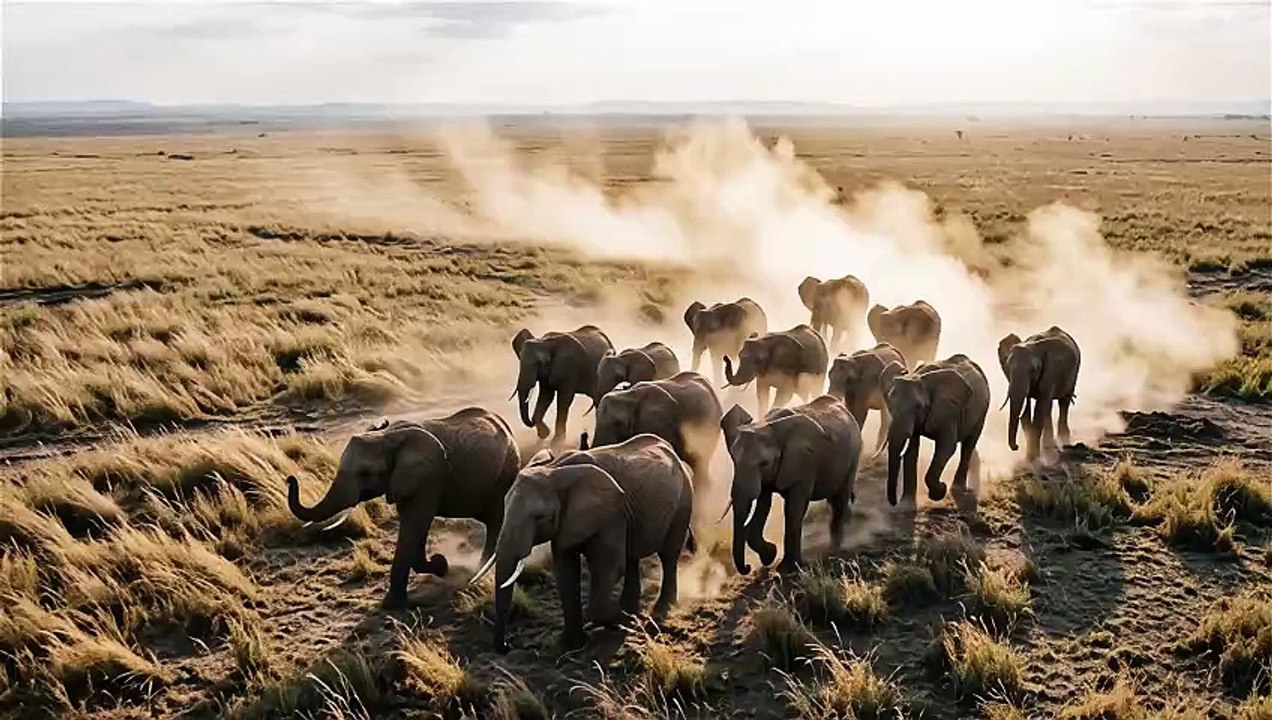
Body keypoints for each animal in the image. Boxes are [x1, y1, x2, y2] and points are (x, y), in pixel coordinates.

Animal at [285, 408, 520, 609]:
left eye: (365, 473)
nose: (290, 479)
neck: (386, 437)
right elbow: (415, 527)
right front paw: (439, 565)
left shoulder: (429, 477)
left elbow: (415, 523)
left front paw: (392, 605)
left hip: (506, 473)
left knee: (496, 521)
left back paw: (480, 572)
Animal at [474, 434, 693, 652]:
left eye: (540, 517)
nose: (507, 645)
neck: (554, 470)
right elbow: (566, 571)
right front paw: (572, 644)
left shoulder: (611, 516)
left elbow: (609, 567)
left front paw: (621, 621)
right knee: (632, 557)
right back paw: (630, 610)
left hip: (684, 500)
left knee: (668, 556)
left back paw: (659, 610)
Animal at [721, 396, 862, 575]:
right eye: (734, 460)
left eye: (764, 463)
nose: (747, 567)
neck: (769, 429)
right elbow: (764, 503)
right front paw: (770, 556)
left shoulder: (804, 462)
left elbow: (793, 509)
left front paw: (787, 569)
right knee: (834, 498)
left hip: (854, 454)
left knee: (840, 499)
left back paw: (834, 550)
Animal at [876, 354, 990, 506]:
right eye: (890, 404)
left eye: (918, 407)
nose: (894, 503)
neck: (920, 378)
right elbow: (911, 451)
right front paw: (906, 505)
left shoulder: (948, 413)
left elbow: (946, 448)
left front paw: (940, 491)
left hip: (983, 409)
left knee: (969, 444)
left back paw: (957, 488)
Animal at [997, 326, 1081, 462]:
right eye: (1008, 368)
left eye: (1033, 370)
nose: (1016, 447)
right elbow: (1027, 411)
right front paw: (1029, 458)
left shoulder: (1050, 372)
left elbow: (1039, 409)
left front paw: (1034, 459)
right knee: (1049, 407)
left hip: (1074, 372)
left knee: (1063, 403)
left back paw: (1064, 442)